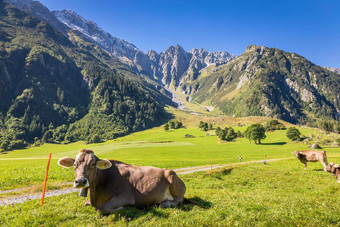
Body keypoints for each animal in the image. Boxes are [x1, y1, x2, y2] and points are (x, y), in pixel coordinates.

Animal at [57, 149, 186, 213]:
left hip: (172, 177)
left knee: (178, 200)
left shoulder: (126, 196)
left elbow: (105, 208)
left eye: (93, 164)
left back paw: (164, 203)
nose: (80, 181)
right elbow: (87, 203)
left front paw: (126, 207)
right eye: (74, 164)